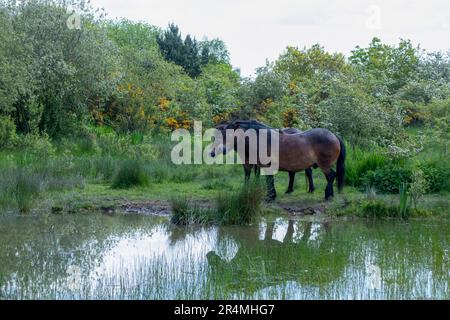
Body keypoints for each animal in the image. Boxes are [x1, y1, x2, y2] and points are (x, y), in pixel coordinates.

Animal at [210, 119, 344, 200]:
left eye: (229, 134)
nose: (212, 152)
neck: (261, 139)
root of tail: (333, 135)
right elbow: (268, 180)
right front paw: (271, 195)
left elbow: (269, 180)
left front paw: (270, 197)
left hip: (324, 165)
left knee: (331, 176)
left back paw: (327, 195)